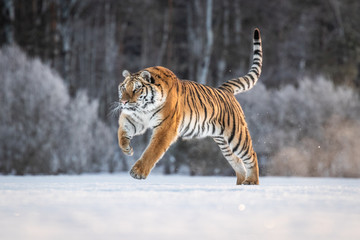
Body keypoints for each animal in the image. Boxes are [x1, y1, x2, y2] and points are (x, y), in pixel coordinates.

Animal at [118, 28, 262, 186]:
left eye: (136, 89)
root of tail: (225, 90)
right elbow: (122, 132)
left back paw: (251, 182)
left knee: (252, 155)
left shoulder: (166, 127)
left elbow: (152, 151)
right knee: (237, 162)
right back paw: (240, 185)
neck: (145, 108)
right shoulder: (133, 118)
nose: (123, 102)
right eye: (123, 88)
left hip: (237, 136)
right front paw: (127, 149)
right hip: (224, 143)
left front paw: (137, 172)